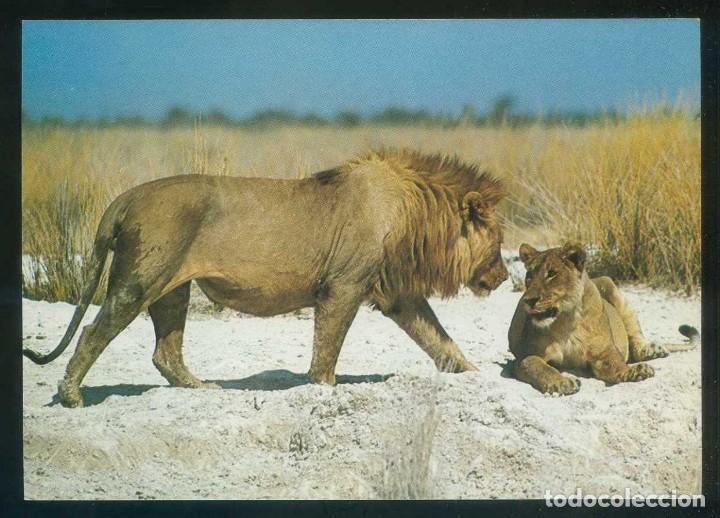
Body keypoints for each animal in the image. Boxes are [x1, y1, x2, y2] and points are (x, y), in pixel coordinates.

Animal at [24, 148, 509, 407]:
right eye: (500, 240)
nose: (506, 276)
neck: (418, 215)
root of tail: (125, 198)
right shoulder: (343, 286)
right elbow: (327, 349)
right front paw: (324, 390)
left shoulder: (398, 296)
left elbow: (441, 341)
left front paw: (477, 377)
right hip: (141, 280)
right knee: (94, 332)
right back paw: (71, 396)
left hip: (173, 289)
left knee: (165, 352)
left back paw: (202, 388)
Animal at [507, 242, 699, 395]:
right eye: (529, 276)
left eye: (552, 273)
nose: (528, 300)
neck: (565, 321)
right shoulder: (526, 356)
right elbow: (541, 368)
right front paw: (562, 381)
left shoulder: (604, 351)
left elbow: (617, 363)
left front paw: (635, 371)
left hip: (610, 285)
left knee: (636, 342)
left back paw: (653, 350)